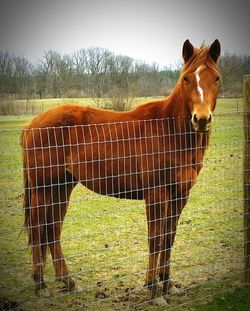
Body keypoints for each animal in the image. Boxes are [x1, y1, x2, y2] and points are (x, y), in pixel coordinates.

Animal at [22, 40, 221, 298]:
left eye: (216, 78)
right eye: (186, 78)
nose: (202, 119)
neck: (169, 131)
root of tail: (31, 124)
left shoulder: (180, 195)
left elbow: (169, 238)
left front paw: (167, 285)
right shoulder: (156, 194)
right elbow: (155, 239)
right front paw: (153, 291)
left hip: (61, 188)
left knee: (53, 231)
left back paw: (68, 282)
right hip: (42, 189)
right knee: (39, 231)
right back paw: (41, 286)